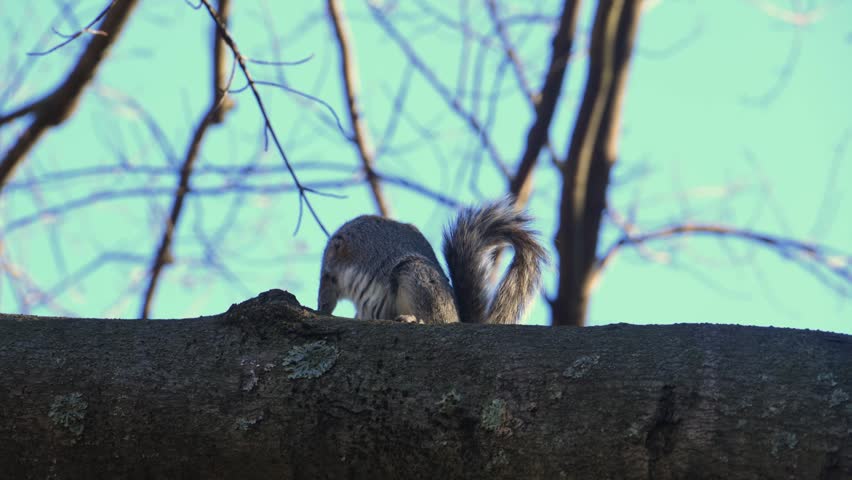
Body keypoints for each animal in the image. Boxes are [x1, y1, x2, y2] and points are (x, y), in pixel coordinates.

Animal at [317, 198, 546, 324]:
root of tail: (457, 318)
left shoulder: (334, 262)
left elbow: (326, 293)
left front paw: (321, 310)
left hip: (416, 276)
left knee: (434, 318)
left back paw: (414, 319)